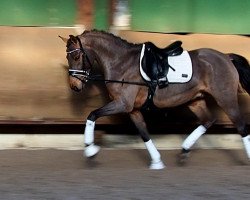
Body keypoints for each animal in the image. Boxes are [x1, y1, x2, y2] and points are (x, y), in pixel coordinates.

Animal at [59, 30, 250, 170]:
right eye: (67, 57)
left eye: (76, 57)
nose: (74, 86)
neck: (121, 62)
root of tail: (226, 57)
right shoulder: (133, 109)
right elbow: (144, 133)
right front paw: (157, 162)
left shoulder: (122, 104)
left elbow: (92, 115)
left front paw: (90, 151)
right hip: (195, 100)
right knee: (208, 120)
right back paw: (184, 150)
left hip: (226, 99)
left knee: (241, 126)